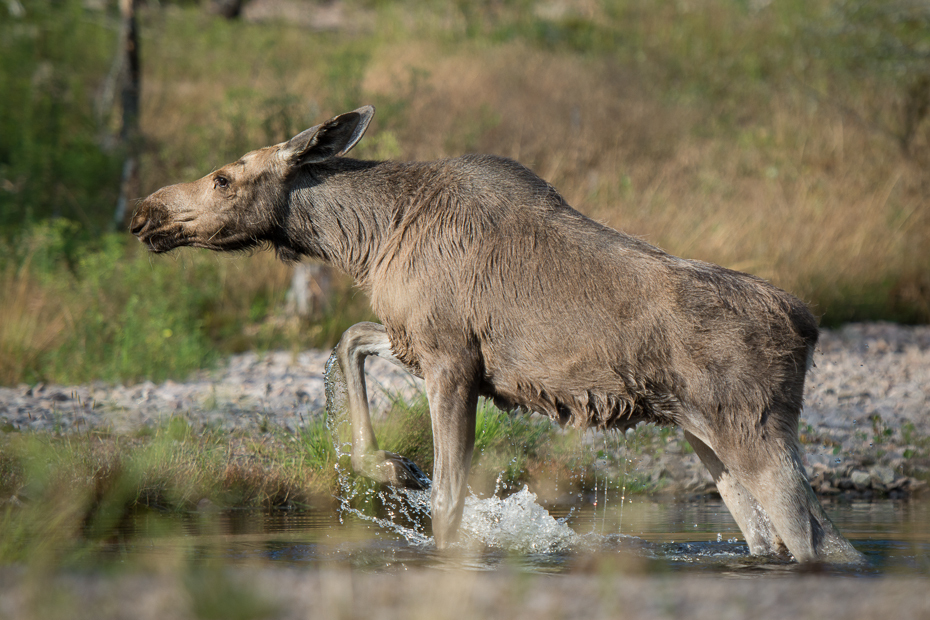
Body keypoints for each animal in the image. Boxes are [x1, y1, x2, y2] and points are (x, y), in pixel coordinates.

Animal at [130, 105, 864, 560]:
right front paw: (389, 463)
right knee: (773, 538)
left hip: (754, 427)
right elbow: (349, 340)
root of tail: (809, 325)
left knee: (817, 541)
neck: (365, 240)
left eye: (223, 178)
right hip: (702, 432)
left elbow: (450, 502)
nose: (145, 212)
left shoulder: (453, 361)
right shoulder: (419, 340)